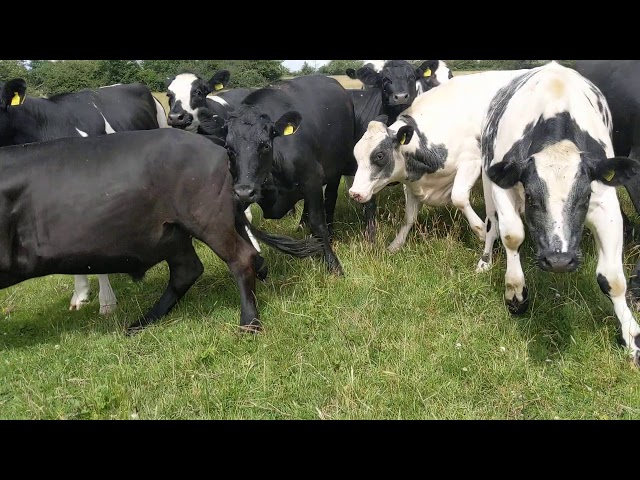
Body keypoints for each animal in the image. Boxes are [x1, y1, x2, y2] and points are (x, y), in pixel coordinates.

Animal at [0, 128, 323, 334]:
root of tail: (216, 145)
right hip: (172, 232)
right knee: (189, 270)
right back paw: (143, 321)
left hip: (206, 220)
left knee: (240, 259)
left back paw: (249, 322)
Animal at [223, 74, 356, 275]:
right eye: (229, 149)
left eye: (265, 145)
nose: (244, 192)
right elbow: (242, 226)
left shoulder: (312, 178)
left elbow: (318, 223)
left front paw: (334, 265)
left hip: (335, 167)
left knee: (330, 198)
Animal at [348, 69, 526, 253]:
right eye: (356, 154)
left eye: (380, 155)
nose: (354, 192)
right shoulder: (412, 181)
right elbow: (409, 217)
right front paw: (395, 245)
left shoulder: (471, 162)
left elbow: (458, 197)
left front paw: (483, 231)